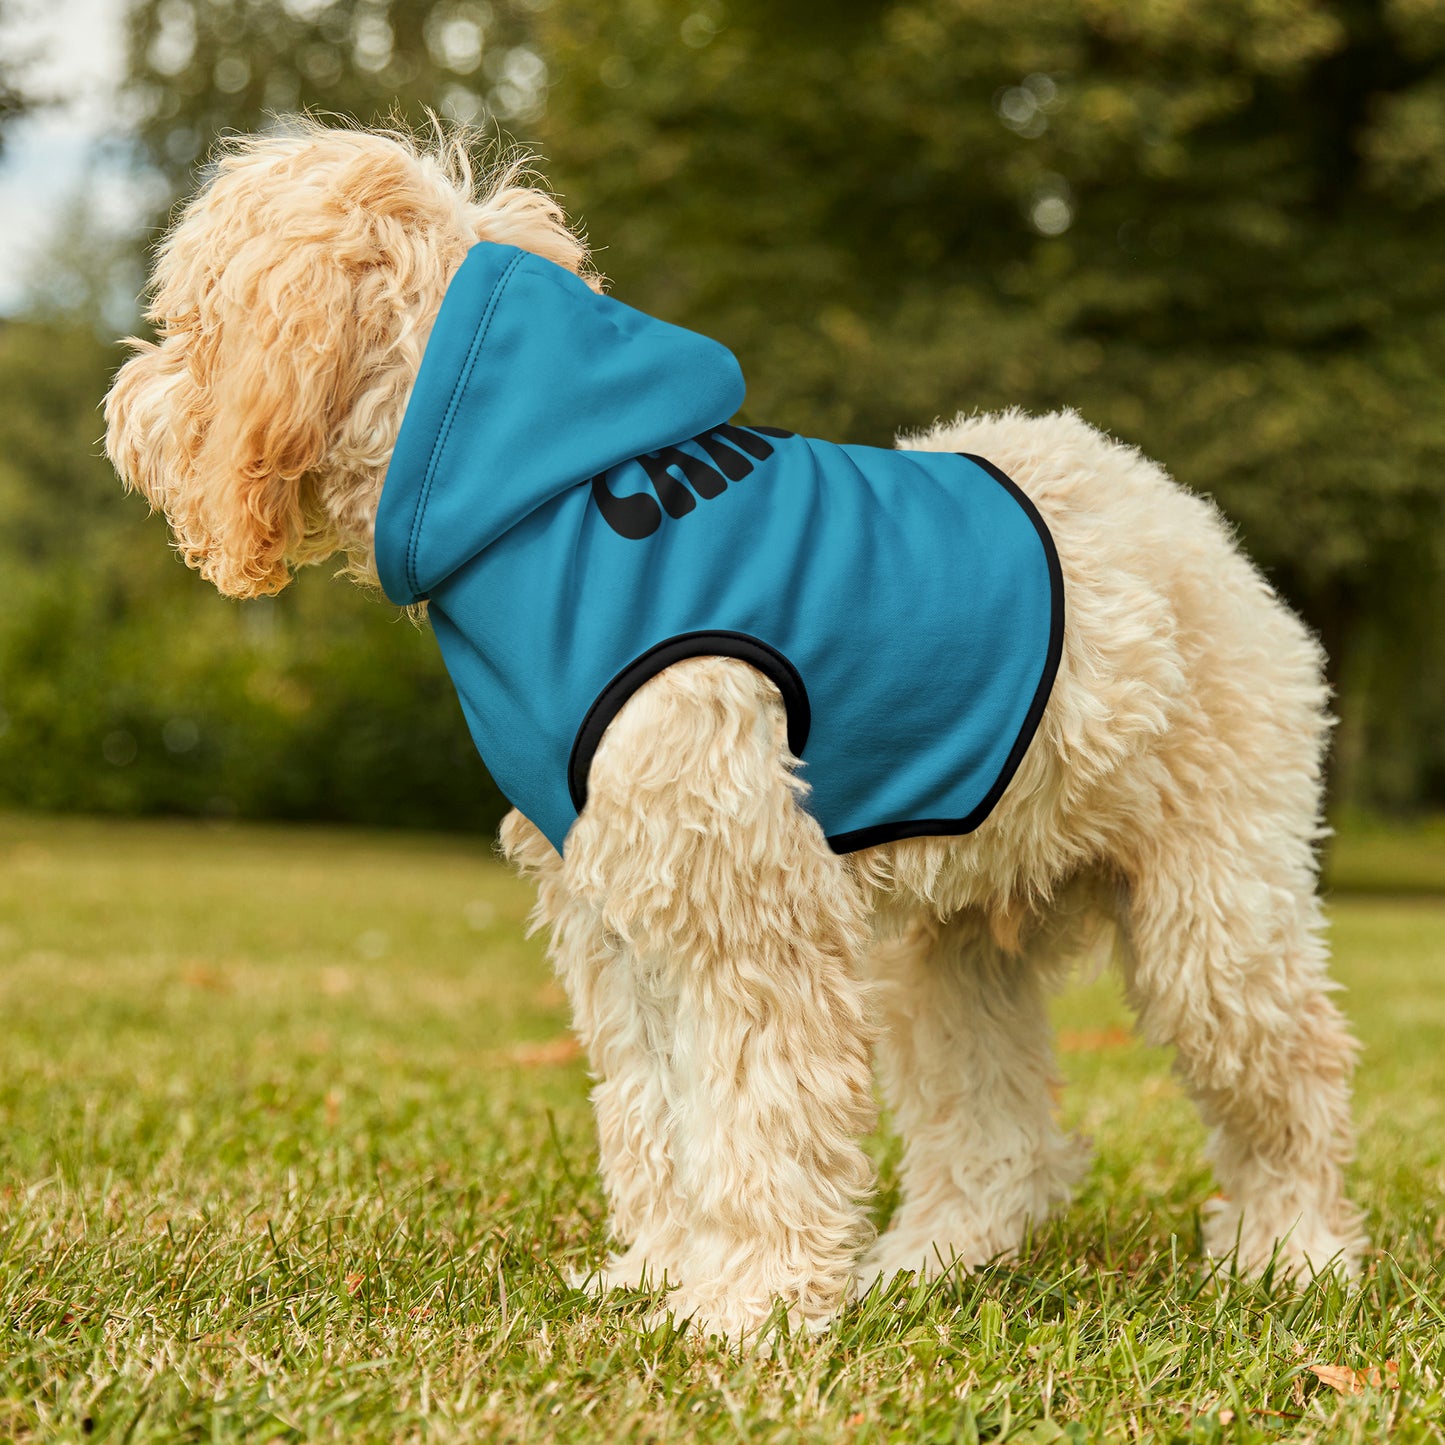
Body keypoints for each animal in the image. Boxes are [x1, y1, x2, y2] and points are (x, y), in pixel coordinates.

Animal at [104, 124, 1364, 1340]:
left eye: (190, 318)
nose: (123, 407)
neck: (541, 501)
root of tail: (1186, 518)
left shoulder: (743, 906)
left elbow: (758, 1114)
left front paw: (747, 1304)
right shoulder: (618, 910)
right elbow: (656, 1112)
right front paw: (662, 1273)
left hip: (1213, 916)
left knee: (1293, 1076)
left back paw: (1290, 1251)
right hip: (950, 948)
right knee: (995, 1133)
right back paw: (930, 1260)